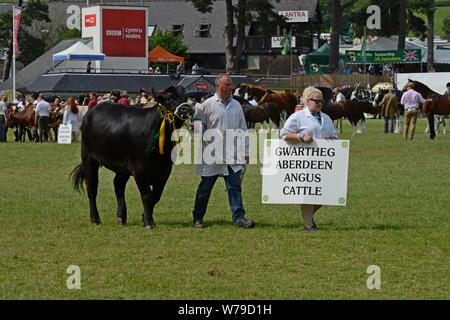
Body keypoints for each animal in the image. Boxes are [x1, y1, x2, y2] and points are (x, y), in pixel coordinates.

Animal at [71, 86, 194, 229]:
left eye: (185, 97)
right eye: (170, 98)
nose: (187, 109)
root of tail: (91, 111)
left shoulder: (164, 171)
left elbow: (155, 196)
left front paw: (144, 218)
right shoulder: (139, 170)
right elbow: (147, 196)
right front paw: (148, 222)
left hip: (122, 167)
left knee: (118, 185)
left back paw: (121, 216)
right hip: (89, 158)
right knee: (92, 188)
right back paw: (95, 218)